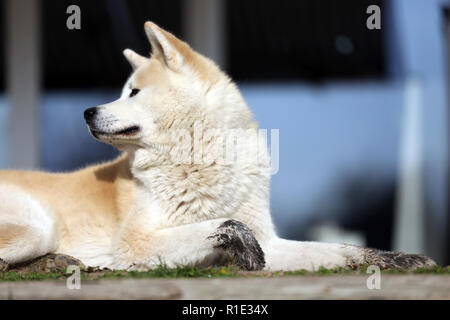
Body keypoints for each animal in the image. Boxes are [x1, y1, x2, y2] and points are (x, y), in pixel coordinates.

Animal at [0, 21, 436, 272]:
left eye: (133, 92)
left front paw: (397, 259)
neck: (198, 160)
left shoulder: (273, 242)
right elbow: (221, 225)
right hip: (37, 226)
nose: (87, 112)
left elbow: (339, 249)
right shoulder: (136, 244)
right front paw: (231, 235)